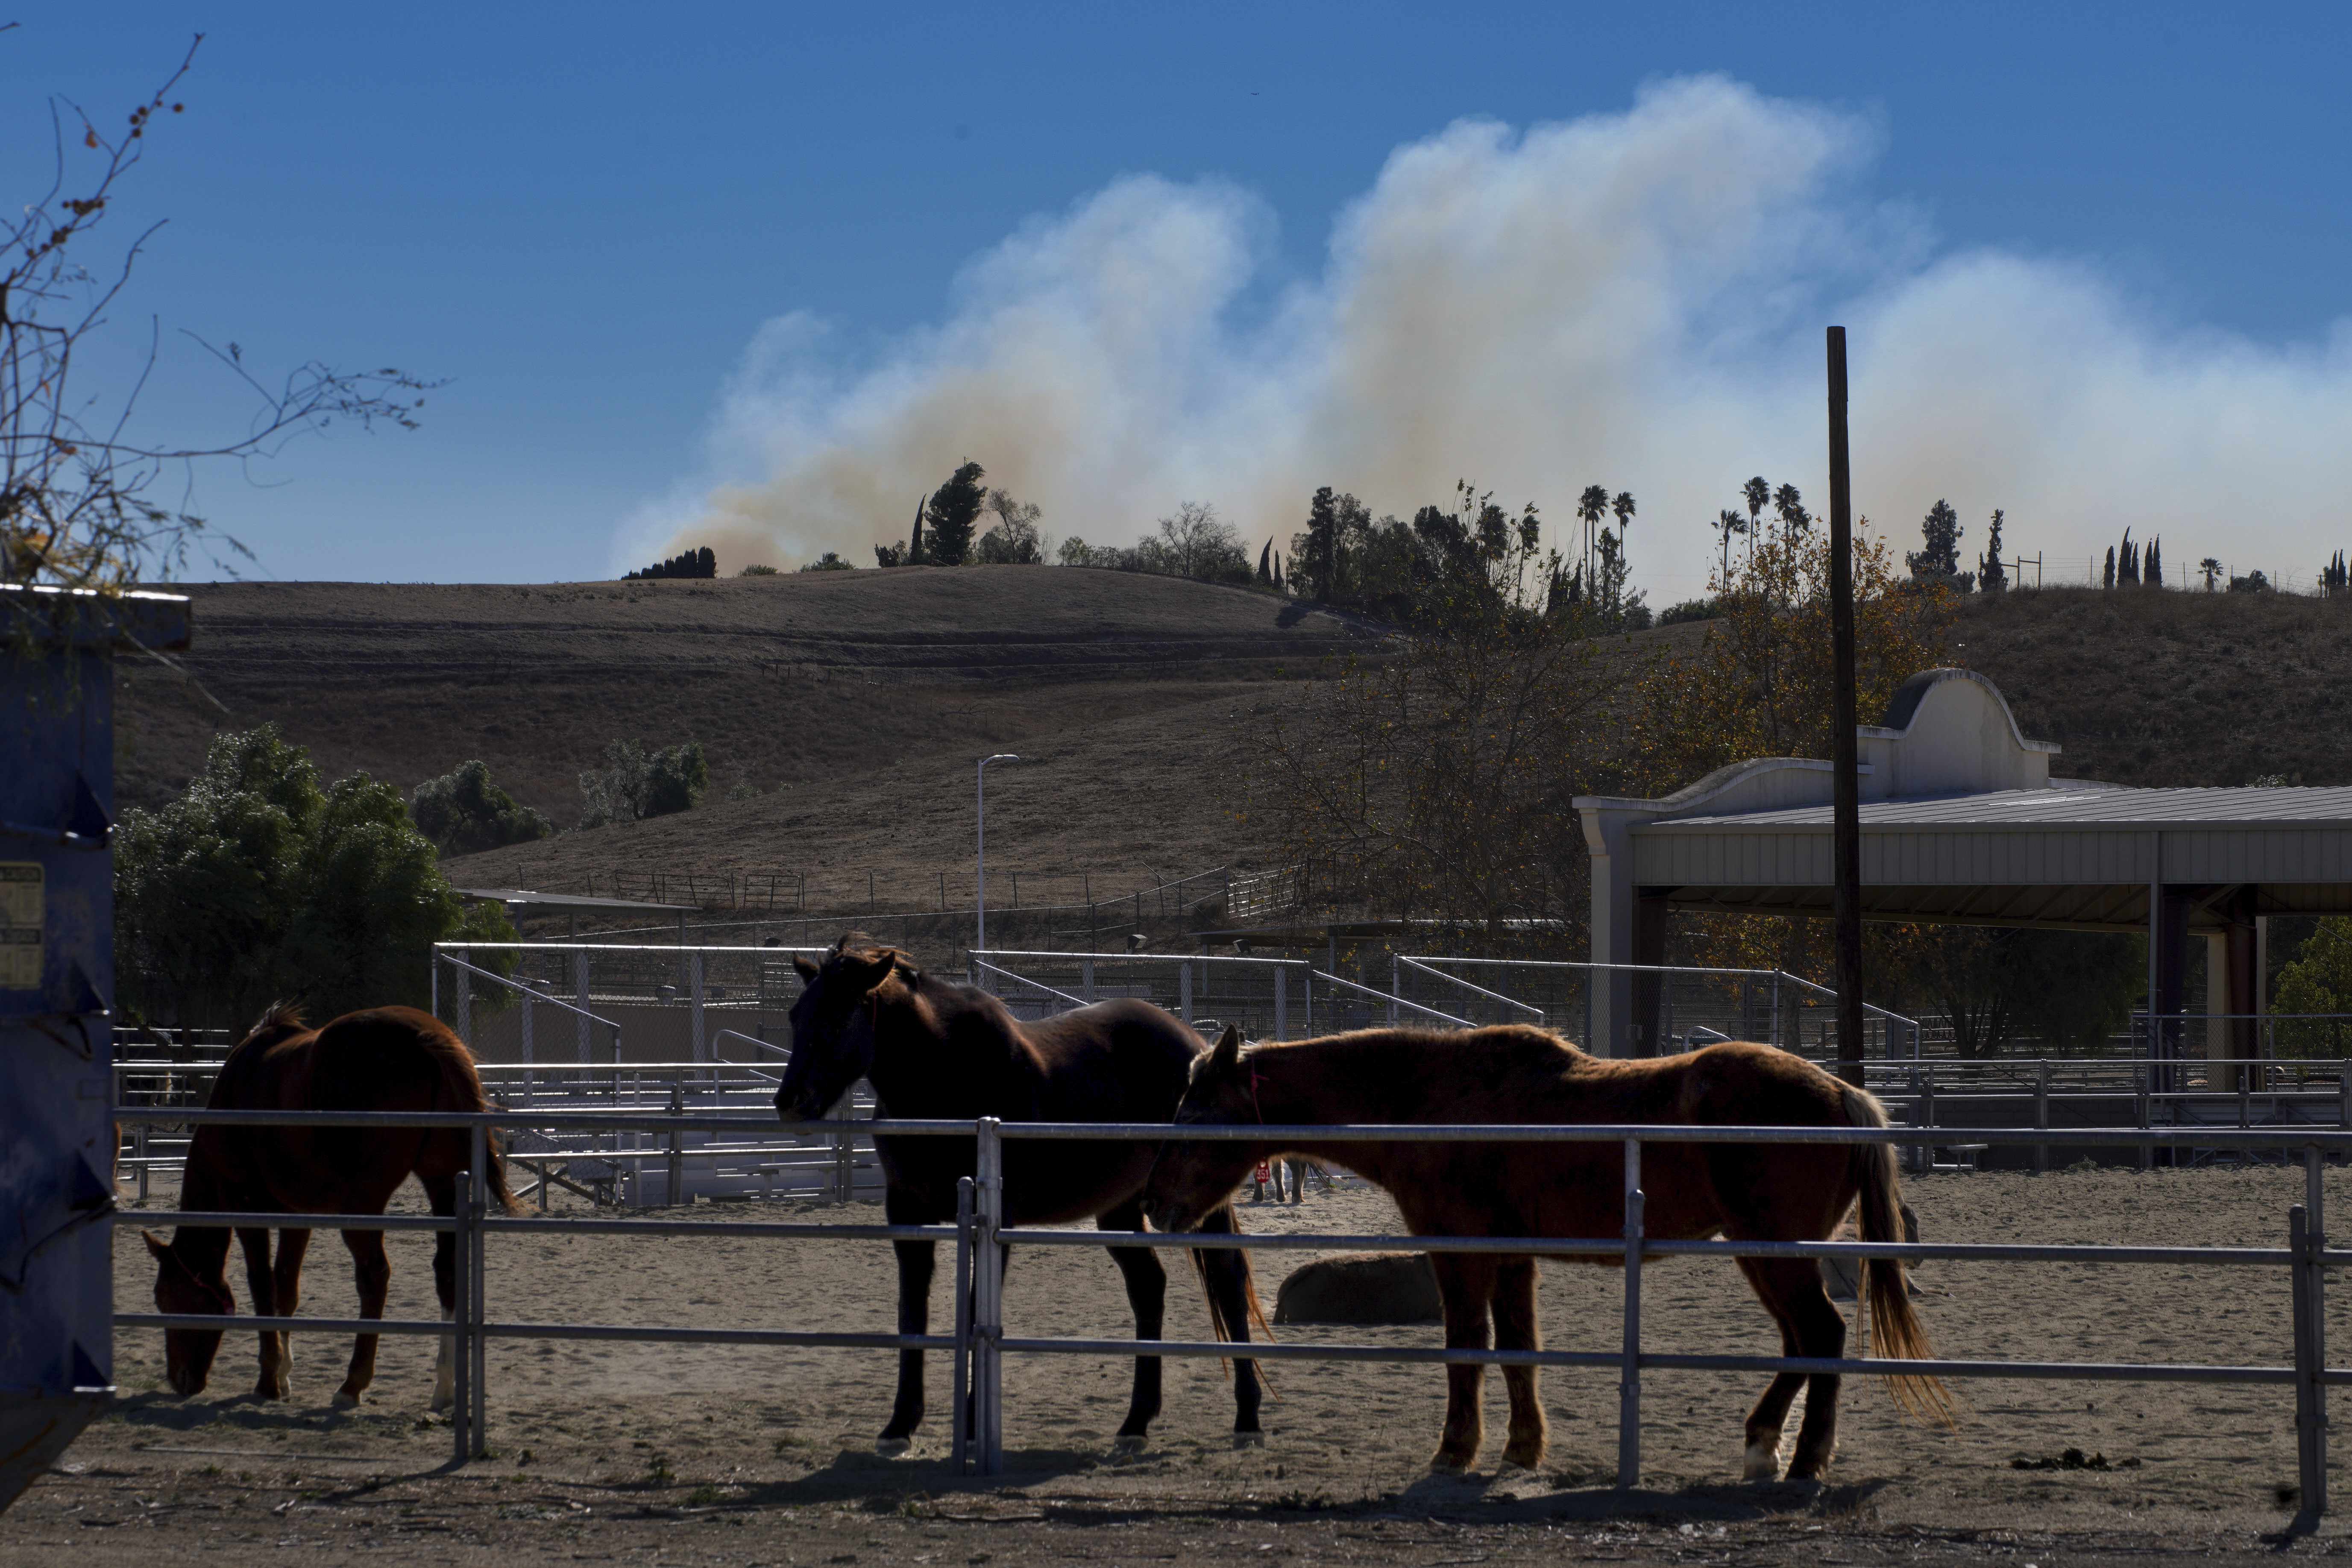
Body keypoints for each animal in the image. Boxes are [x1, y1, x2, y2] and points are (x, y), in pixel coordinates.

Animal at [146, 1006, 519, 1410]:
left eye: (165, 1298)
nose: (179, 1380)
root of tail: (424, 1036)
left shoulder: (246, 1209)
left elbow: (262, 1285)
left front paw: (269, 1380)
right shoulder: (297, 1216)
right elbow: (285, 1288)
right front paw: (284, 1375)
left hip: (363, 1203)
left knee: (374, 1276)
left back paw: (352, 1385)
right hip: (443, 1184)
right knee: (447, 1272)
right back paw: (445, 1386)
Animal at [776, 931, 1270, 1457]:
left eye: (839, 1015)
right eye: (796, 1014)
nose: (790, 1101)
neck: (948, 1077)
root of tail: (1198, 1046)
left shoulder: (995, 1217)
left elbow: (977, 1310)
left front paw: (972, 1424)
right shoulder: (906, 1212)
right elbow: (912, 1313)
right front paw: (899, 1424)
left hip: (1202, 1200)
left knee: (1227, 1279)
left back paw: (1247, 1417)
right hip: (1120, 1207)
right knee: (1148, 1287)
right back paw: (1136, 1421)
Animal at [1138, 1029, 1947, 1486]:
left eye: (1193, 1113)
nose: (1153, 1202)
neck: (1433, 1098)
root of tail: (1840, 1092)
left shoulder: (1462, 1251)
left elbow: (1468, 1348)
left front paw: (1455, 1450)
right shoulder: (1510, 1256)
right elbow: (1518, 1350)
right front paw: (1522, 1450)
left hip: (1775, 1254)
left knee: (1821, 1336)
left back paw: (1803, 1458)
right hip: (1767, 1256)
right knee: (1801, 1342)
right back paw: (1763, 1447)